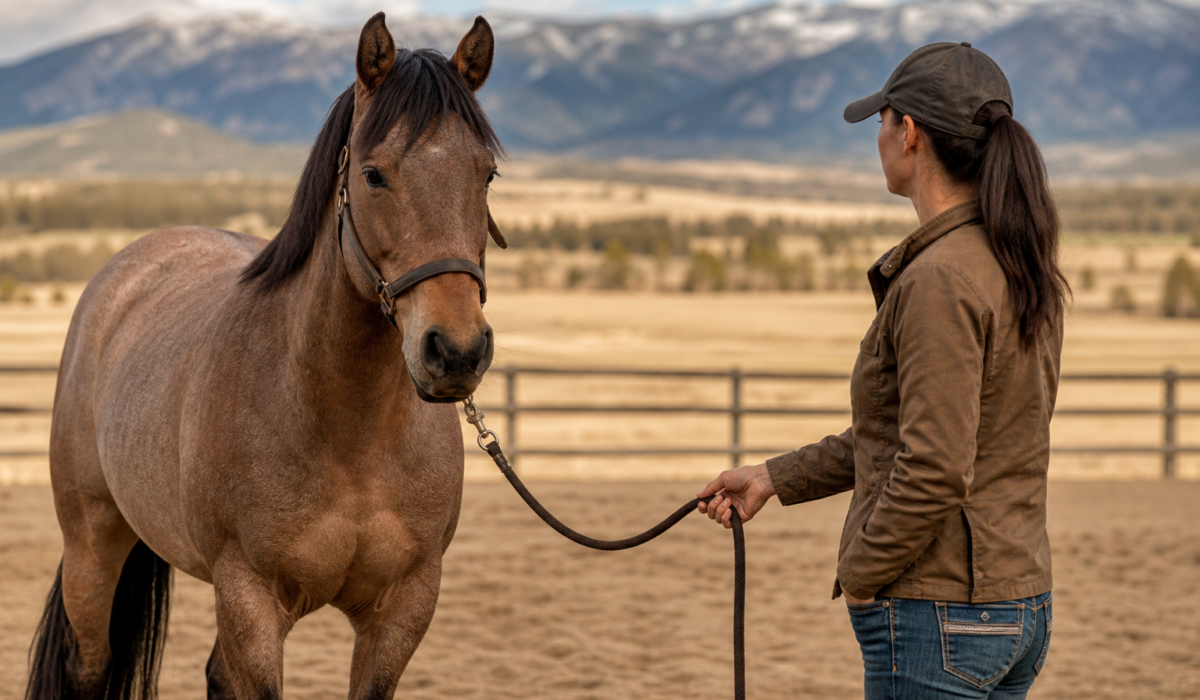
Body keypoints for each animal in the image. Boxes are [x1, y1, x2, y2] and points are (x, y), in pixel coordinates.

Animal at [26, 13, 507, 700]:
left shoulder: (403, 609)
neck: (348, 433)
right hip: (92, 546)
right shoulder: (251, 600)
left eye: (485, 175)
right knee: (87, 668)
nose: (457, 350)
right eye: (373, 174)